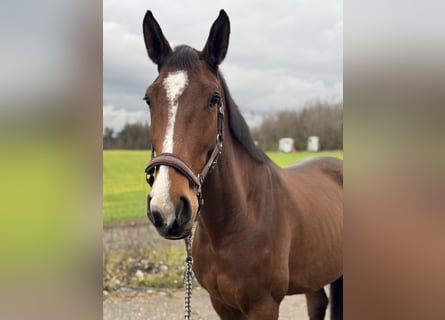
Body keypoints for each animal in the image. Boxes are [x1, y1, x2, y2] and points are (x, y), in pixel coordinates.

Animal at [142, 10, 344, 320]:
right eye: (149, 99)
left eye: (214, 99)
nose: (167, 208)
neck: (239, 219)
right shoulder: (222, 304)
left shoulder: (264, 306)